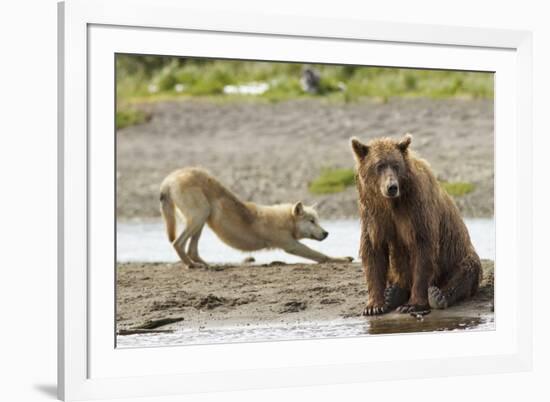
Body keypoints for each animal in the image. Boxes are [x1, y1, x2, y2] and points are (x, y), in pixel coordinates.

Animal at [160, 166, 354, 266]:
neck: (286, 221)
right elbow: (321, 255)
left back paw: (205, 264)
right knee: (177, 243)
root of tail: (169, 179)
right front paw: (341, 259)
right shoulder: (291, 245)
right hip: (200, 214)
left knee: (191, 249)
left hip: (201, 219)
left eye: (318, 221)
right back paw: (192, 265)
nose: (326, 233)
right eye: (312, 221)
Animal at [352, 135, 480, 314]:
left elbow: (422, 250)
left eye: (396, 164)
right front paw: (374, 306)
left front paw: (412, 304)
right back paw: (393, 293)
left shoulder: (416, 209)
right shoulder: (374, 215)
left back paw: (438, 296)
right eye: (379, 165)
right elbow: (373, 250)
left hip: (458, 255)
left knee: (465, 271)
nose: (392, 187)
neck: (392, 203)